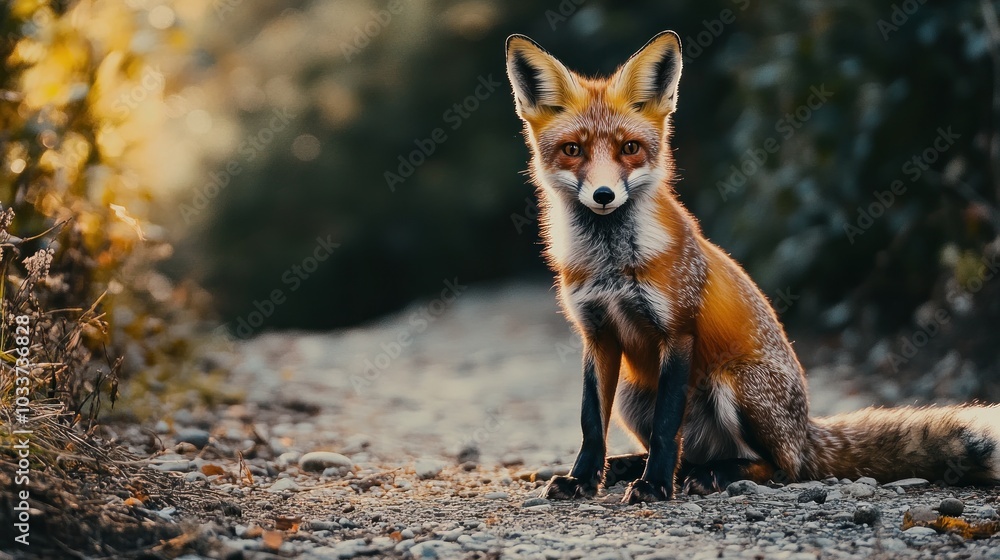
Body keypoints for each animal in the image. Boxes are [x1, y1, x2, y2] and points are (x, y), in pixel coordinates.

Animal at [505, 30, 1000, 503]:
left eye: (630, 148)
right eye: (573, 150)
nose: (604, 195)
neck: (611, 264)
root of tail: (805, 432)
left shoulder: (677, 331)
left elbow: (666, 428)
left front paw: (655, 488)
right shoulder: (598, 335)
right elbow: (591, 423)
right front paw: (582, 479)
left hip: (735, 383)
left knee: (777, 467)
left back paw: (710, 475)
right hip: (633, 391)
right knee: (695, 452)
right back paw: (640, 466)